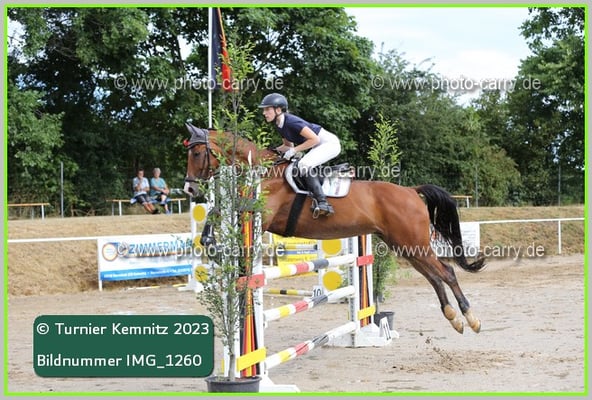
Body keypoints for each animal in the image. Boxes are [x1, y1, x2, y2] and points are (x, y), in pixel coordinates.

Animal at [183, 127, 486, 334]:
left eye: (196, 153)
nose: (189, 189)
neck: (263, 172)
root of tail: (412, 191)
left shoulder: (260, 213)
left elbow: (221, 212)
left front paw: (213, 243)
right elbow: (215, 211)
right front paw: (210, 242)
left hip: (414, 244)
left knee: (446, 272)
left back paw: (471, 319)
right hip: (404, 246)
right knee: (434, 276)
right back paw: (454, 318)